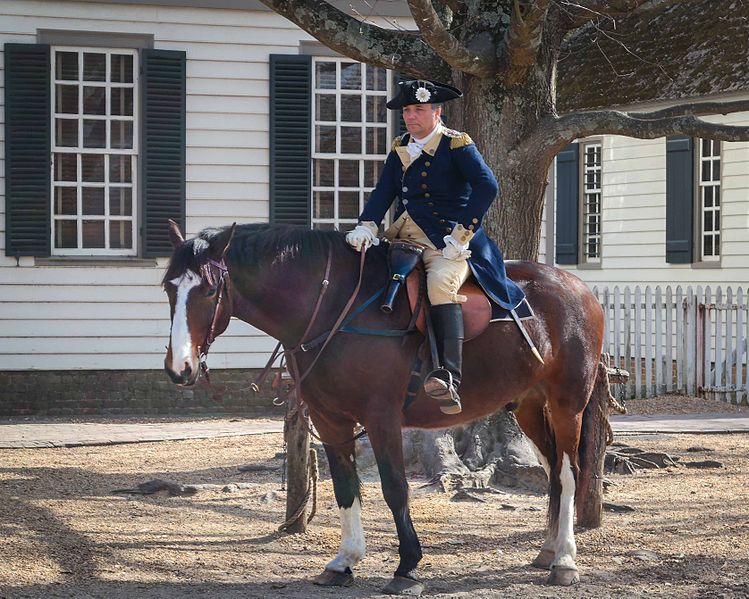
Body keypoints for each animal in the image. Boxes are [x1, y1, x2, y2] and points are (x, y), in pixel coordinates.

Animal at [164, 220, 608, 596]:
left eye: (208, 290)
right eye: (169, 288)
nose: (178, 368)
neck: (334, 305)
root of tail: (578, 287)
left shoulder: (381, 418)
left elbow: (395, 488)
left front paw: (407, 567)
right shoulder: (330, 421)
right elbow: (345, 487)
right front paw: (344, 562)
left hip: (567, 403)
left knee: (568, 472)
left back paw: (565, 561)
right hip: (531, 407)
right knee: (552, 471)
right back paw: (548, 551)